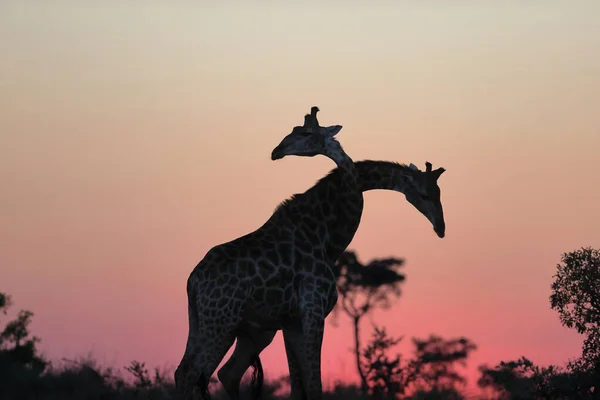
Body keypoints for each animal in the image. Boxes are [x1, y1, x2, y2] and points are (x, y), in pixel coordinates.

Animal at [176, 107, 364, 400]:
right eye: (296, 130)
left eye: (306, 133)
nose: (277, 150)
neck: (327, 238)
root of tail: (193, 281)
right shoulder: (313, 308)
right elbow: (314, 382)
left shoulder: (292, 320)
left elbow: (302, 383)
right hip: (220, 321)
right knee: (193, 373)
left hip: (199, 320)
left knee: (185, 371)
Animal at [216, 160, 446, 400]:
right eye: (423, 194)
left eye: (439, 192)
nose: (441, 228)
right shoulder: (306, 313)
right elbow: (309, 383)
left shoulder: (291, 321)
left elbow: (299, 386)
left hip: (257, 334)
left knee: (228, 373)